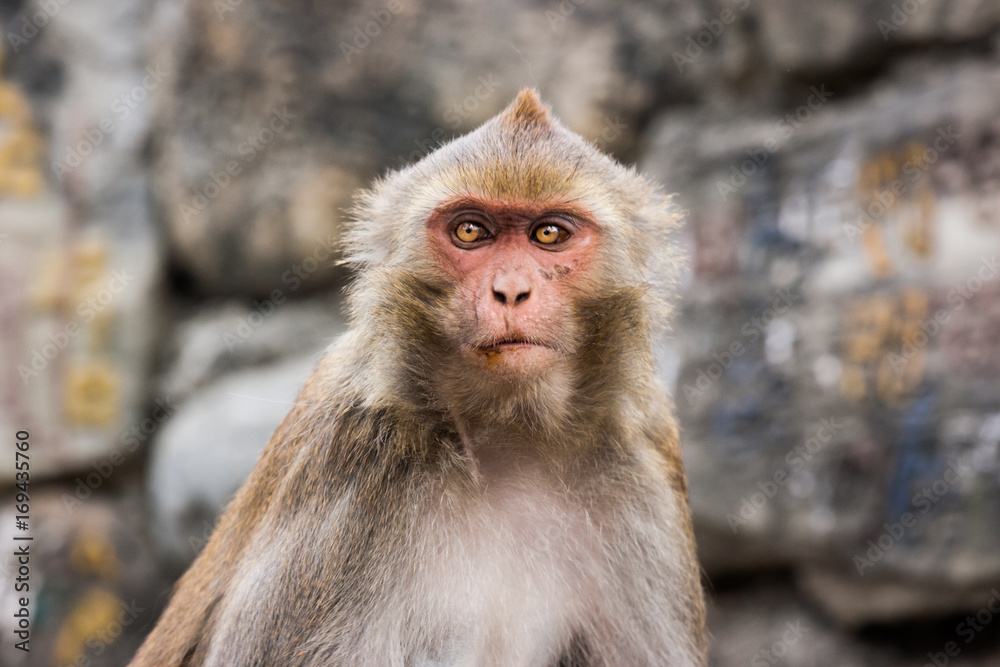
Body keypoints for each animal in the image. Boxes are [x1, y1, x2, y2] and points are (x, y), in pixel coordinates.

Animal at [130, 88, 707, 667]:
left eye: (549, 233)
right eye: (471, 231)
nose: (511, 290)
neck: (510, 437)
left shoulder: (643, 460)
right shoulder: (355, 465)